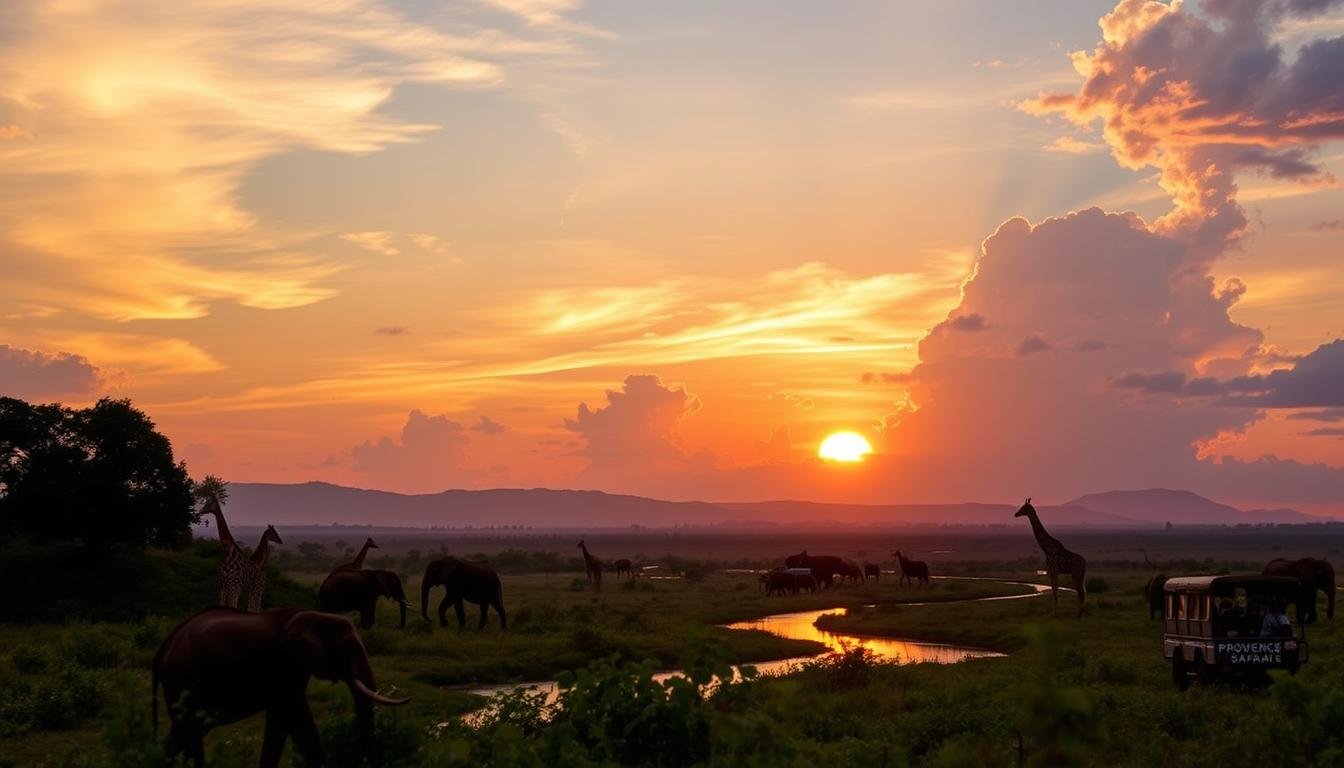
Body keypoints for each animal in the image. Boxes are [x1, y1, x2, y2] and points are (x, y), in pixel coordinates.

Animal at [150, 607, 405, 768]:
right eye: (345, 649)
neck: (311, 614)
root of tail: (163, 648)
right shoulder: (285, 664)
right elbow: (295, 715)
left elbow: (282, 720)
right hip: (182, 681)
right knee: (187, 730)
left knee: (187, 733)